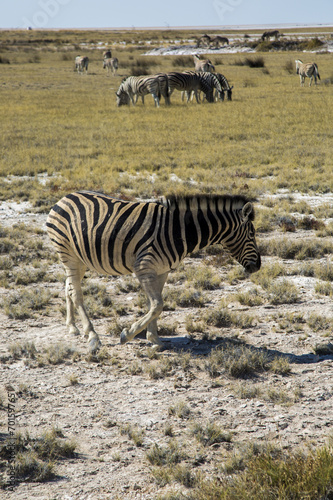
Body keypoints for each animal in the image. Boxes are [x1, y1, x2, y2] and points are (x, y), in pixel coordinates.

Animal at [46, 190, 260, 352]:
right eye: (252, 234)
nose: (258, 266)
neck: (179, 230)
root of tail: (65, 197)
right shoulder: (143, 267)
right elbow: (157, 305)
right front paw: (128, 334)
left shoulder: (162, 270)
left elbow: (154, 305)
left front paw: (154, 339)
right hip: (68, 254)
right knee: (76, 293)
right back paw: (92, 336)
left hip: (80, 258)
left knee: (68, 287)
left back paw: (73, 327)